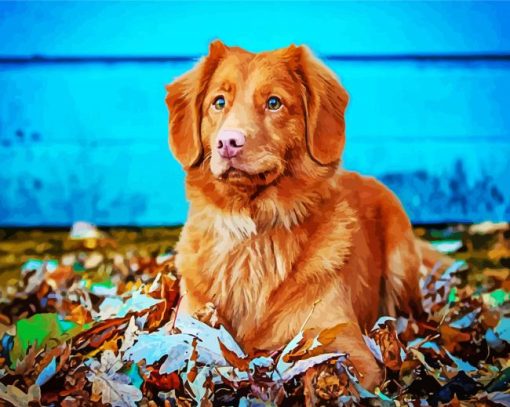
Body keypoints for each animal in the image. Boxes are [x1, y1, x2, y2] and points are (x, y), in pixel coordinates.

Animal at [165, 40, 424, 388]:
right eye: (218, 102)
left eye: (274, 103)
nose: (227, 143)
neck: (253, 229)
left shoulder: (348, 346)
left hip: (400, 259)